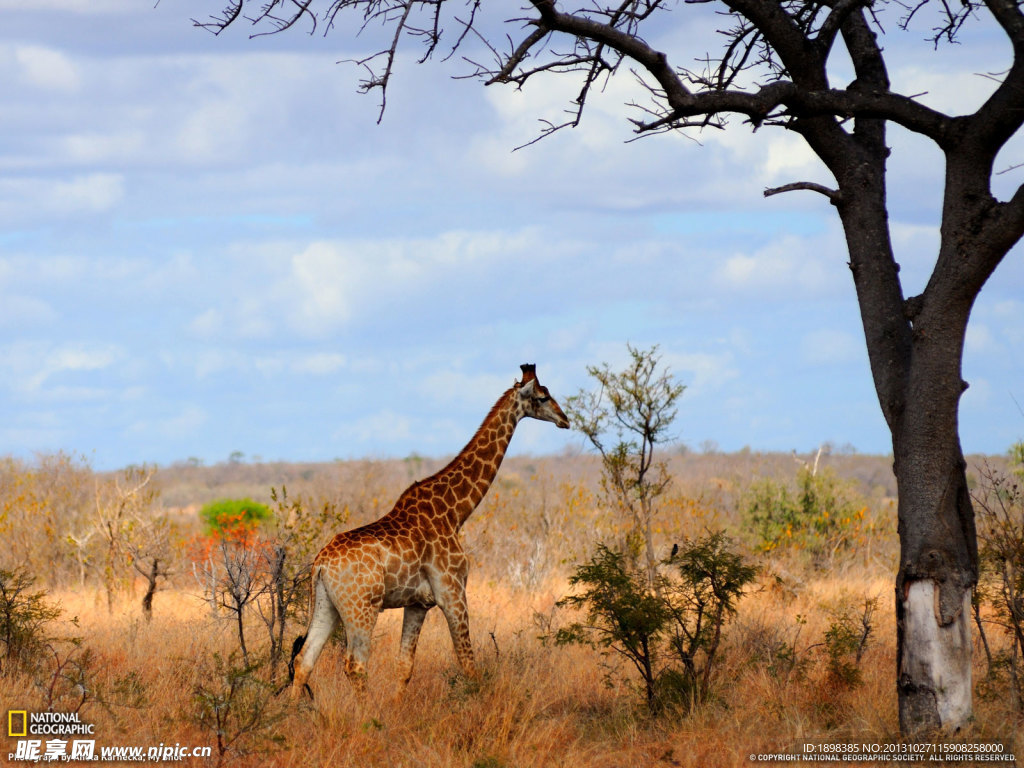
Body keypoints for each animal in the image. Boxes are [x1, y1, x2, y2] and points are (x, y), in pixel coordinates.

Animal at [292, 364, 573, 700]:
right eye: (542, 397)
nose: (565, 420)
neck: (454, 512)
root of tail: (320, 564)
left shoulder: (417, 603)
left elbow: (405, 667)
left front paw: (397, 707)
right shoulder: (453, 591)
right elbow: (468, 662)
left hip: (328, 605)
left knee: (304, 660)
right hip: (362, 607)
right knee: (355, 665)